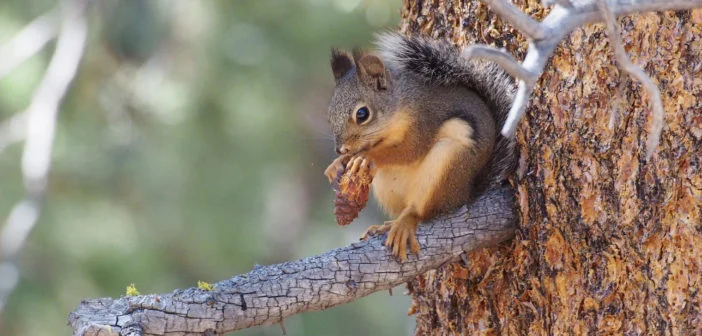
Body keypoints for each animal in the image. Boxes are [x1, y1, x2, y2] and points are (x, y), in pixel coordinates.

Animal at [324, 32, 516, 262]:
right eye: (329, 115)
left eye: (362, 114)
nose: (340, 149)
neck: (400, 105)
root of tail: (466, 194)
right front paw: (337, 164)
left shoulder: (424, 122)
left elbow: (409, 150)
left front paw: (368, 157)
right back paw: (387, 225)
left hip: (447, 164)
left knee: (421, 211)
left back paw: (405, 223)